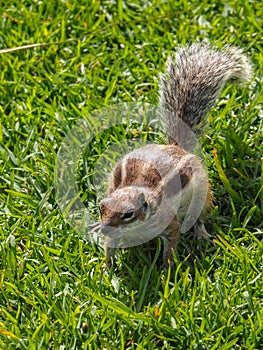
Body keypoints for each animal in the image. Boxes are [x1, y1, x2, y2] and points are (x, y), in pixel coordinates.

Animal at [99, 43, 254, 268]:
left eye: (128, 214)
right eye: (101, 208)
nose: (103, 228)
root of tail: (176, 147)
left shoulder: (169, 224)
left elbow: (171, 246)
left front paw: (167, 269)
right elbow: (109, 246)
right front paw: (107, 268)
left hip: (202, 194)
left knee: (200, 216)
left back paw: (201, 234)